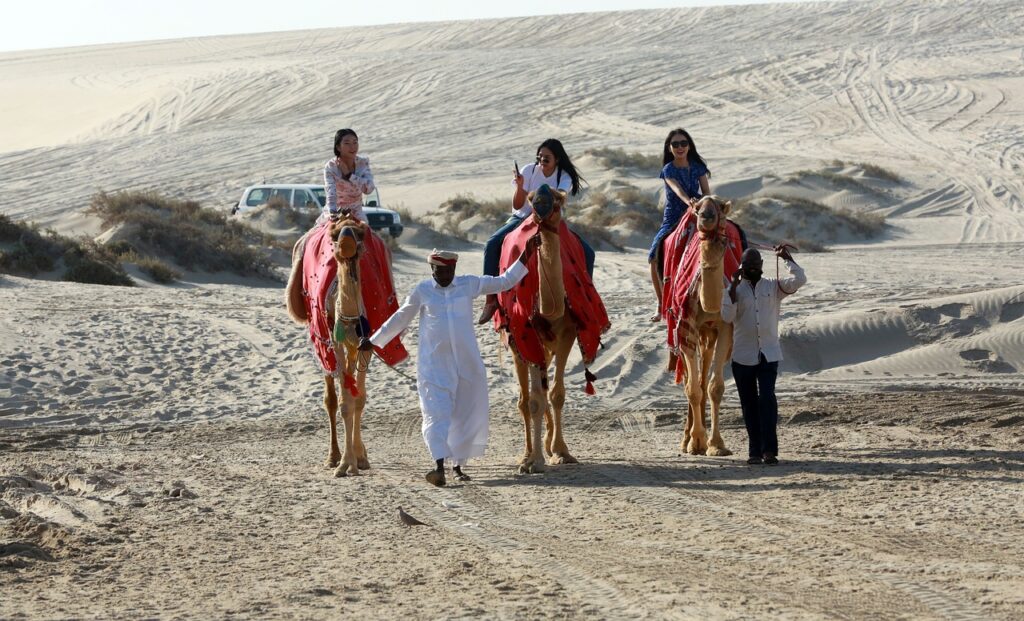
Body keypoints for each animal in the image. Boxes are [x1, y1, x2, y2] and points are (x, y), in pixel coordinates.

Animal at [284, 216, 372, 479]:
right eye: (334, 236)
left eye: (360, 234)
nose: (346, 244)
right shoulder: (335, 342)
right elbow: (344, 404)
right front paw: (345, 464)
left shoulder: (367, 344)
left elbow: (359, 399)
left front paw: (359, 458)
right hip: (323, 345)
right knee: (331, 398)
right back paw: (333, 457)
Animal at [671, 196, 737, 459]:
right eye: (698, 207)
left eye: (719, 207)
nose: (706, 216)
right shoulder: (686, 324)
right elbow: (692, 389)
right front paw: (696, 441)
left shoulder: (726, 327)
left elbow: (714, 388)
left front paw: (716, 444)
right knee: (691, 381)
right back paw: (685, 438)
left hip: (708, 334)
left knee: (703, 375)